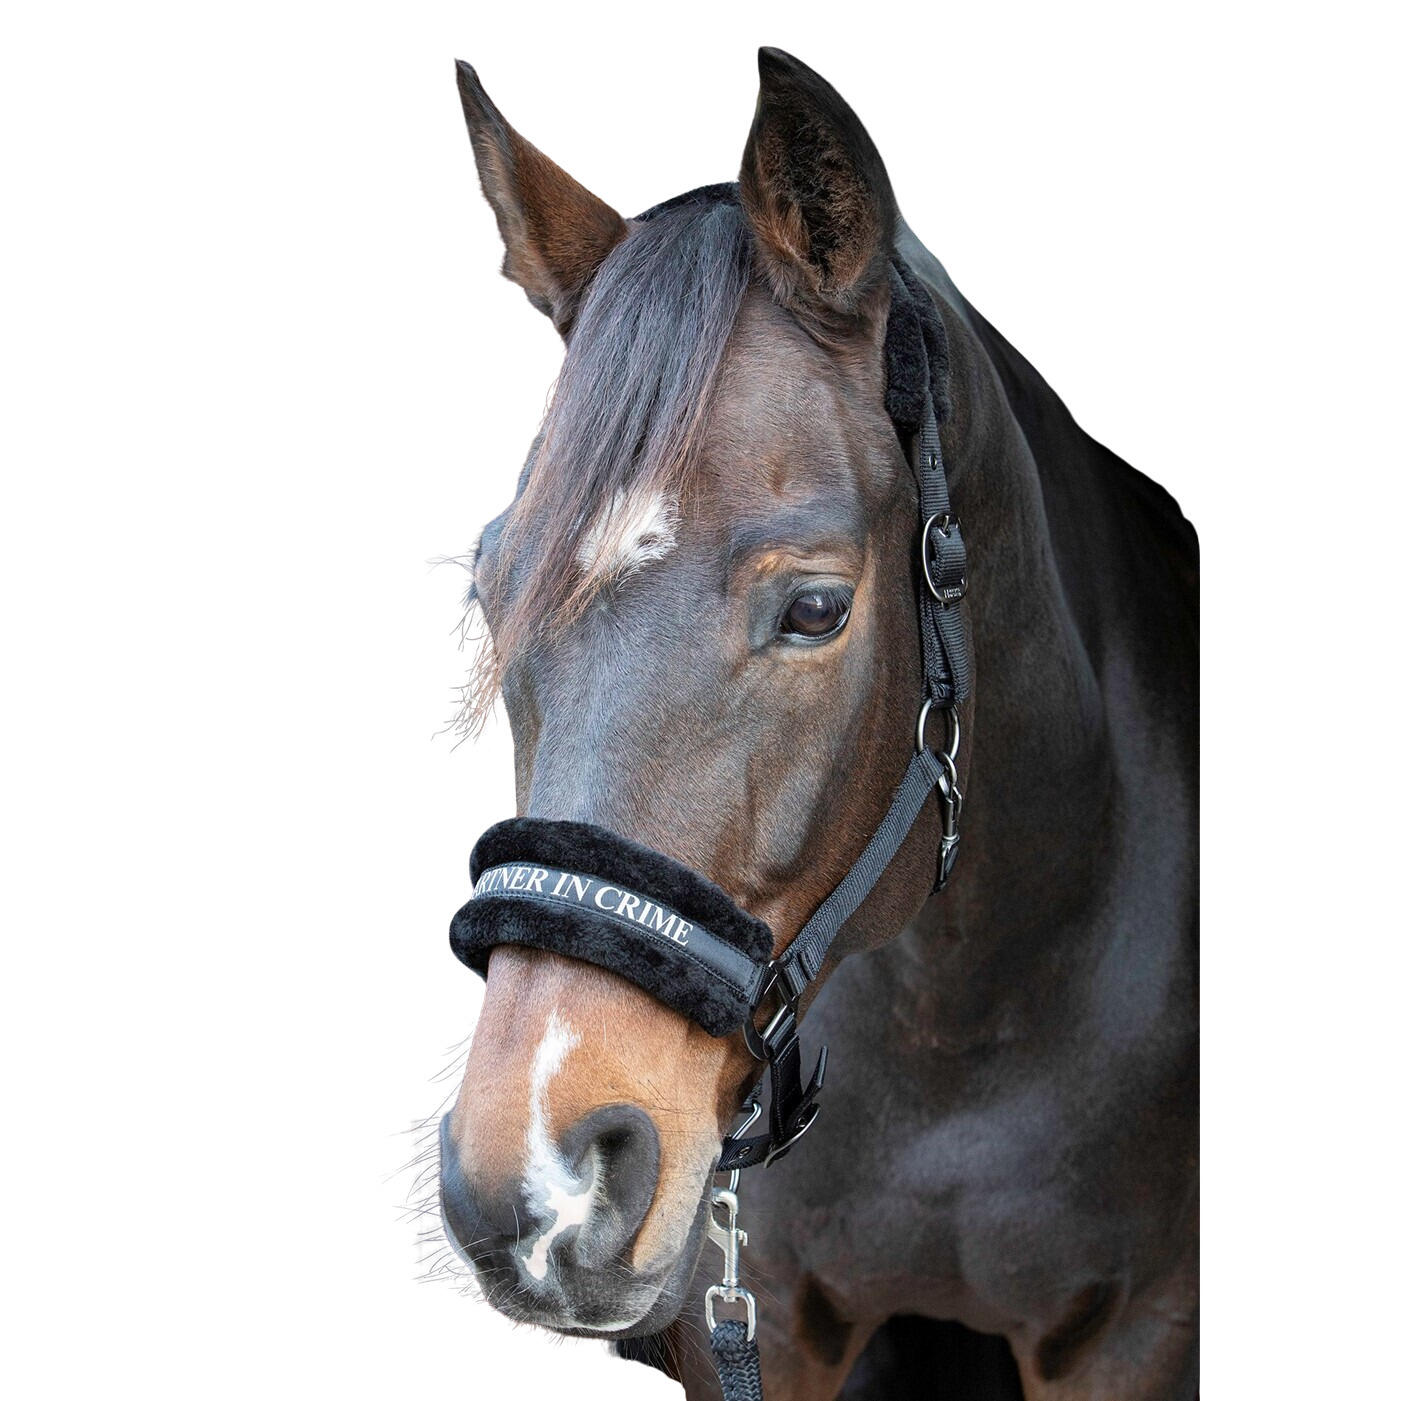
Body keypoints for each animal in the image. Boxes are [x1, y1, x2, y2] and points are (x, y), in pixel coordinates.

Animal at [437, 48, 1198, 1401]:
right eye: (490, 585)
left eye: (815, 608)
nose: (537, 1194)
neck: (973, 1023)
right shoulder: (765, 1323)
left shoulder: (1138, 1335)